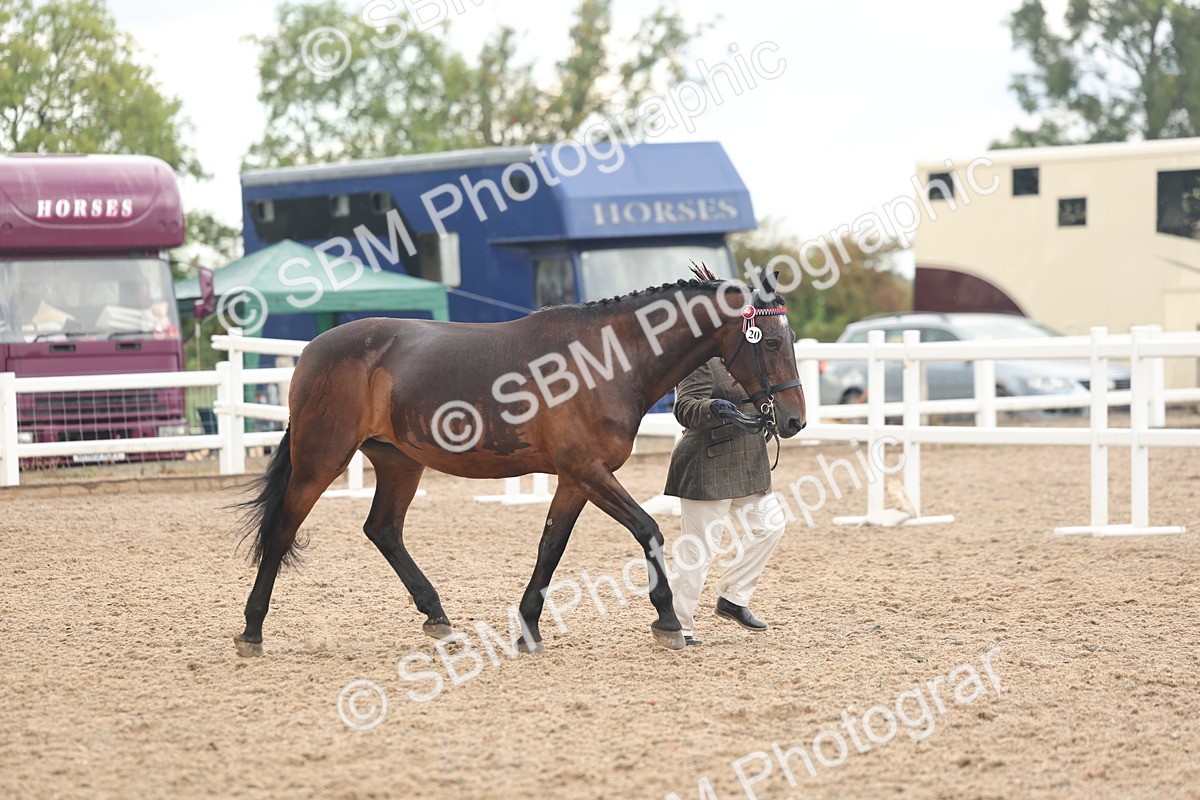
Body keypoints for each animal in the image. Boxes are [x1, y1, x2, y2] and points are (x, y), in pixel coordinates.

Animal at [233, 273, 807, 657]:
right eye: (774, 341)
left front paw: (528, 627)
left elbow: (550, 547)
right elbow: (648, 529)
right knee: (283, 530)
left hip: (398, 463)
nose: (794, 419)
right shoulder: (590, 472)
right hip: (321, 459)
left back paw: (437, 616)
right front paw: (667, 619)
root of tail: (312, 351)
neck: (605, 360)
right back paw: (252, 631)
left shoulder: (576, 479)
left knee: (383, 529)